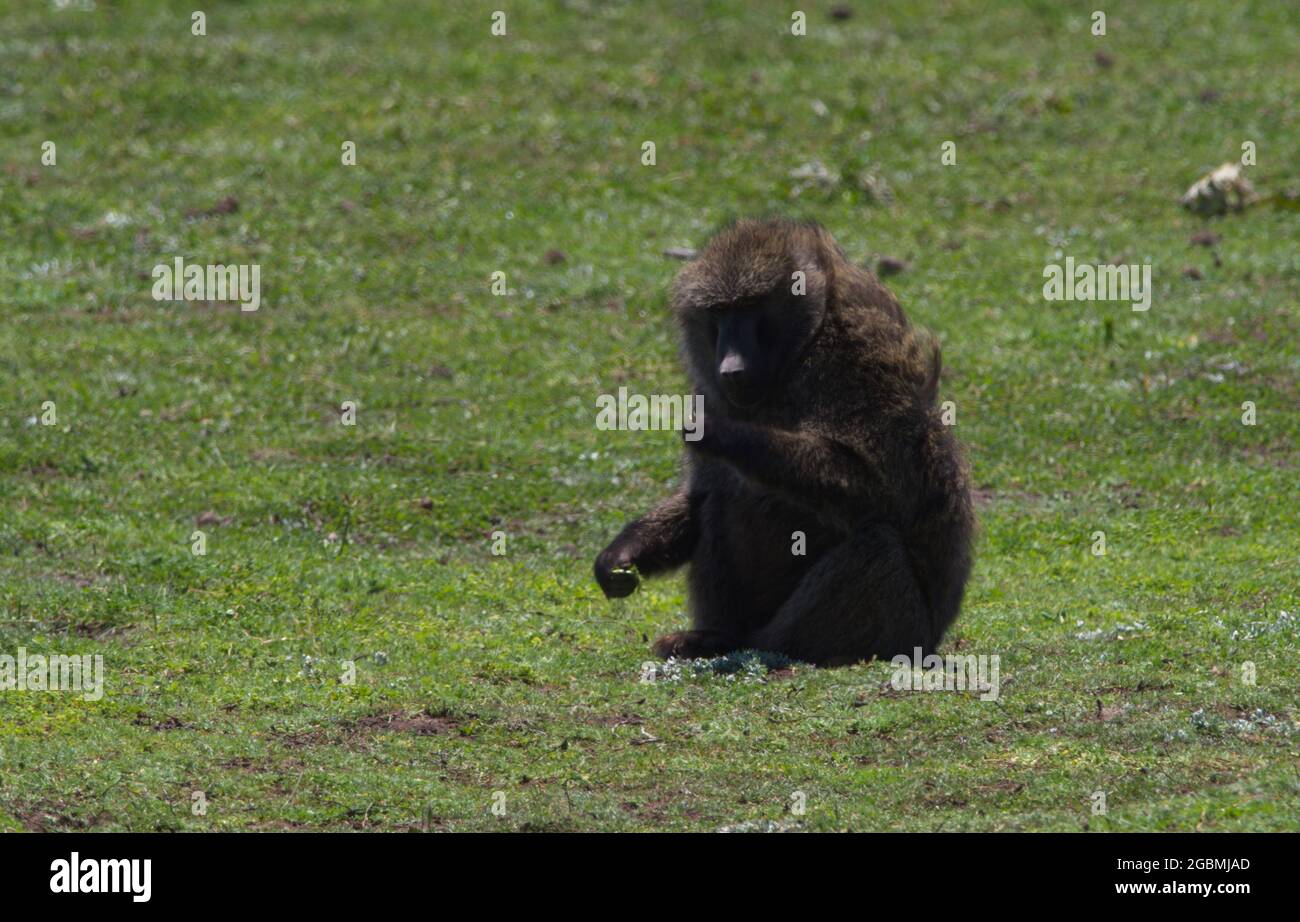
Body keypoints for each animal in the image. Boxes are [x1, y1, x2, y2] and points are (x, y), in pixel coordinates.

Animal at [594, 218, 974, 667]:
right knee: (718, 500)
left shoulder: (859, 359)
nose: (731, 368)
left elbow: (881, 493)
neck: (804, 344)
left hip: (903, 627)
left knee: (877, 545)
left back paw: (766, 646)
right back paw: (715, 637)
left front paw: (722, 432)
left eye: (751, 307)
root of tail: (933, 636)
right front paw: (618, 558)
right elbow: (701, 491)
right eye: (719, 312)